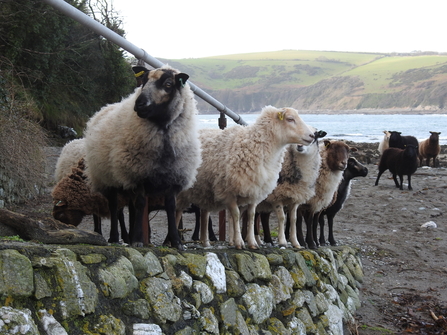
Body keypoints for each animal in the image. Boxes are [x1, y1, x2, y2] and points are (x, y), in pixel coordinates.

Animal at [83, 65, 201, 249]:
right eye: (143, 81)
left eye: (168, 84)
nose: (139, 104)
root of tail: (104, 108)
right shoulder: (137, 174)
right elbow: (140, 204)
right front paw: (138, 240)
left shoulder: (173, 177)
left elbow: (171, 207)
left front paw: (176, 242)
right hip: (107, 178)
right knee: (114, 207)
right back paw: (115, 238)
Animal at [175, 106, 316, 251]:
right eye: (290, 119)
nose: (312, 136)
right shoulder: (228, 191)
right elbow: (236, 215)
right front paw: (239, 242)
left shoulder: (254, 189)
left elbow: (251, 216)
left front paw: (252, 243)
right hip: (183, 191)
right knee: (177, 211)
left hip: (204, 191)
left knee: (204, 213)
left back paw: (205, 242)